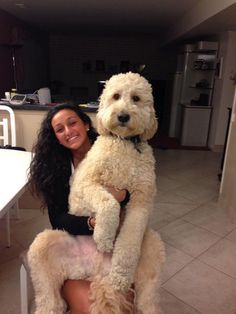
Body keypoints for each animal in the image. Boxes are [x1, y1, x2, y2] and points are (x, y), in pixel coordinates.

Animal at [28, 72, 166, 312]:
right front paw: (103, 237)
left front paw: (120, 275)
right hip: (43, 248)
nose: (122, 116)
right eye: (116, 96)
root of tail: (97, 272)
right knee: (49, 299)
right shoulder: (86, 184)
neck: (124, 145)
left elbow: (129, 239)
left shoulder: (141, 200)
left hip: (152, 248)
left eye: (136, 98)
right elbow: (109, 202)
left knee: (148, 299)